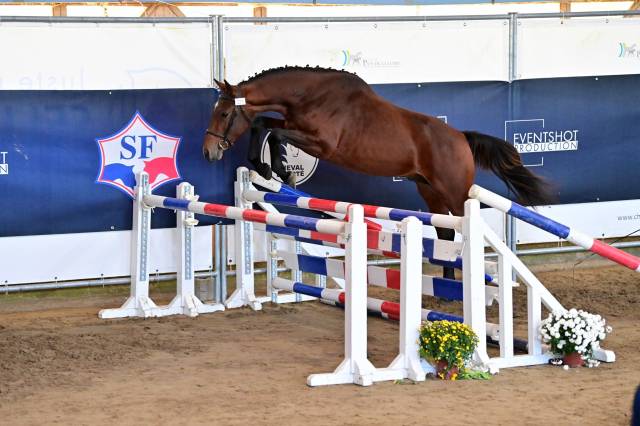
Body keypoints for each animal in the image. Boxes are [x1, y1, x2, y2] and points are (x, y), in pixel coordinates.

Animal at [202, 66, 552, 280]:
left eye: (224, 113)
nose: (209, 152)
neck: (309, 96)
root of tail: (461, 138)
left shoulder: (322, 144)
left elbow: (274, 133)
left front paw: (278, 170)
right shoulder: (292, 125)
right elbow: (264, 125)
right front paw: (266, 166)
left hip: (454, 193)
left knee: (463, 230)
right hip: (430, 191)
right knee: (445, 234)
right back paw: (446, 289)